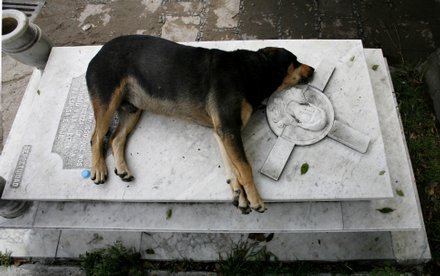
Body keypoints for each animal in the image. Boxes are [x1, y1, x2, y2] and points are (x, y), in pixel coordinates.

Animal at [86, 35, 314, 213]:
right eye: (295, 60)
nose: (312, 69)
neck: (251, 70)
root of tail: (98, 52)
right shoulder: (229, 129)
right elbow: (245, 166)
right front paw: (255, 199)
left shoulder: (222, 131)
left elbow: (233, 167)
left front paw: (239, 195)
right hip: (107, 100)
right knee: (96, 136)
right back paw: (98, 168)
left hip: (132, 109)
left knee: (116, 138)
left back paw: (122, 169)